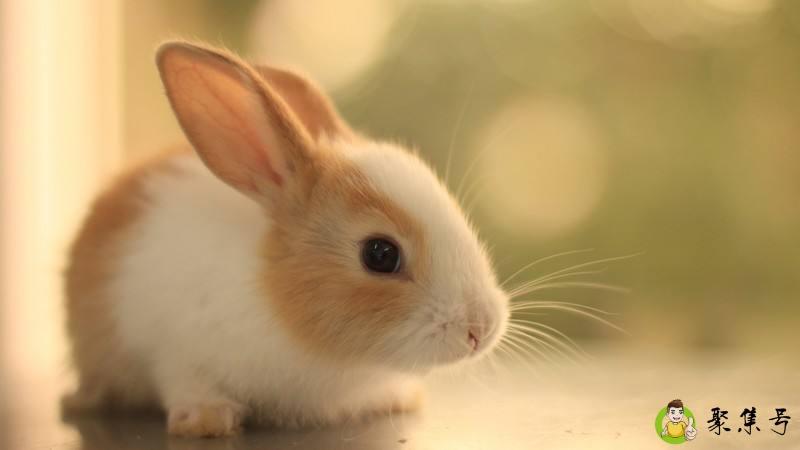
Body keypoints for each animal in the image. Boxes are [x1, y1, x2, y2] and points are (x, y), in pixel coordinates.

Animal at [62, 40, 509, 437]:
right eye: (380, 254)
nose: (480, 329)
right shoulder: (173, 349)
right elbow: (185, 381)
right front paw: (207, 420)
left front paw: (398, 397)